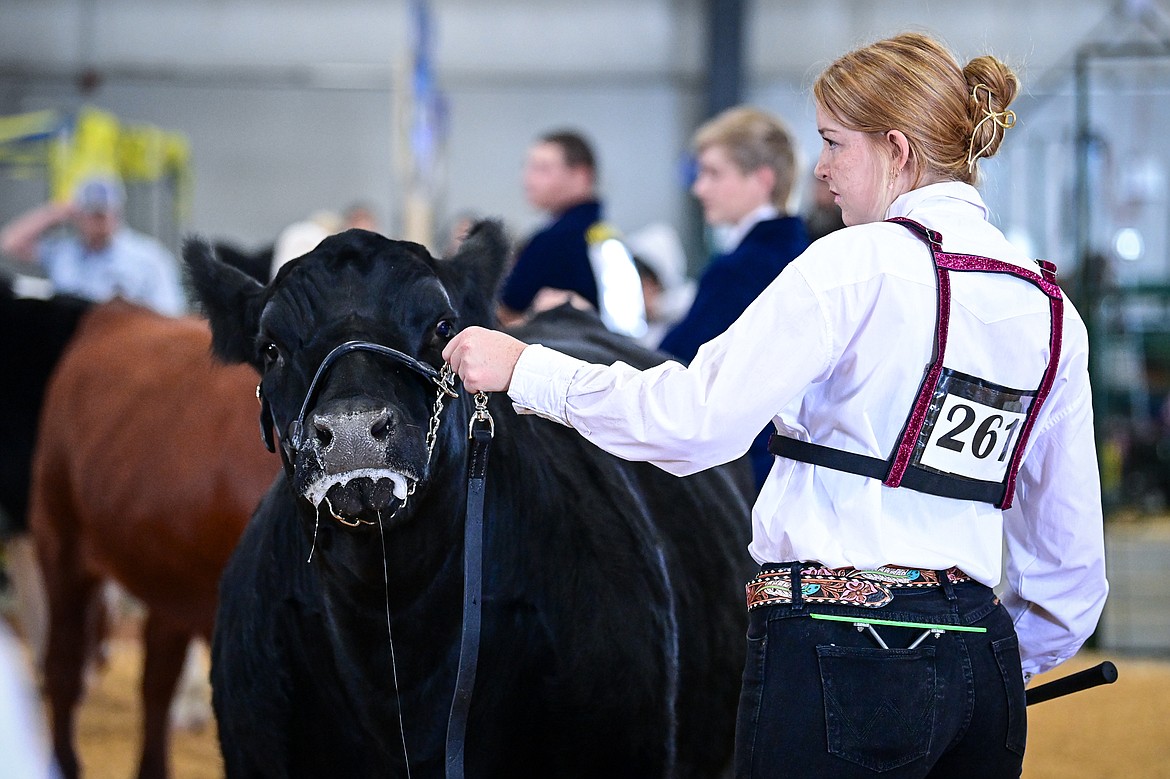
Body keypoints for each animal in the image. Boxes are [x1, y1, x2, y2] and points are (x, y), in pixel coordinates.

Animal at [30, 298, 278, 776]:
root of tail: (116, 310)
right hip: (58, 534)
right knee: (64, 667)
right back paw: (63, 762)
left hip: (172, 575)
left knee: (156, 682)